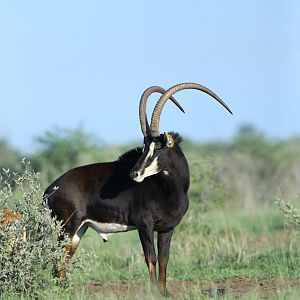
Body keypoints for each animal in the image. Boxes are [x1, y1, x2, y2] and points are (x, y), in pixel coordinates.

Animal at [44, 82, 232, 296]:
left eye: (157, 147)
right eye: (144, 147)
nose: (134, 174)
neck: (169, 190)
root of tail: (49, 190)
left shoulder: (167, 228)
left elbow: (164, 258)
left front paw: (164, 292)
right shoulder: (145, 225)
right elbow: (151, 257)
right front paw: (154, 292)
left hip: (78, 231)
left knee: (64, 258)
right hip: (66, 228)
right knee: (57, 257)